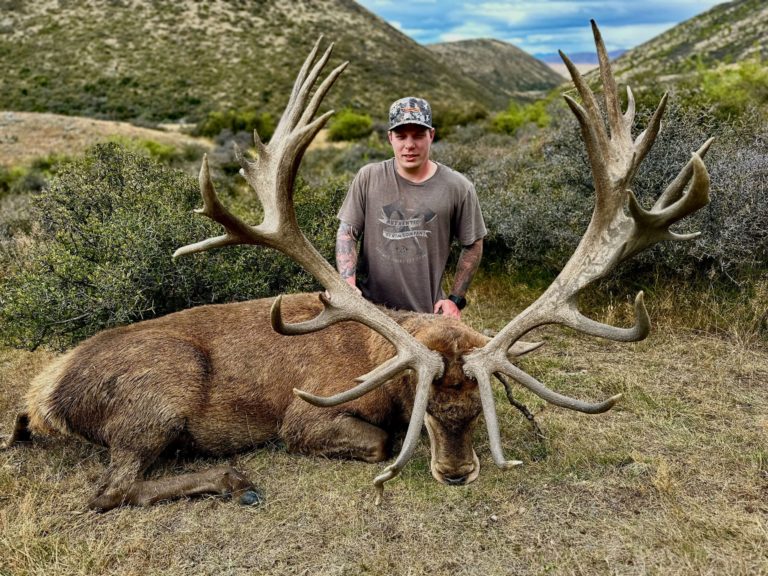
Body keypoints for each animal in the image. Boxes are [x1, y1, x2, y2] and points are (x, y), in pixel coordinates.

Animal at [2, 21, 712, 511]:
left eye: (475, 413)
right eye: (430, 414)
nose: (458, 473)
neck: (381, 366)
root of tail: (42, 397)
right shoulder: (303, 418)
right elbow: (372, 442)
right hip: (160, 394)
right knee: (110, 490)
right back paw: (234, 479)